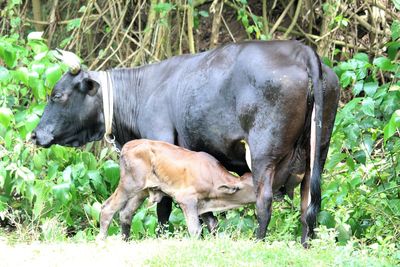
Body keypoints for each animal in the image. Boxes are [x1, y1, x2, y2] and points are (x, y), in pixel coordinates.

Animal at [98, 139, 255, 240]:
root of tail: (127, 146)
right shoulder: (187, 199)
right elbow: (195, 229)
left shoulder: (203, 204)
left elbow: (213, 224)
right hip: (129, 185)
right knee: (107, 208)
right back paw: (102, 240)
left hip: (141, 191)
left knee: (125, 213)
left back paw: (126, 240)